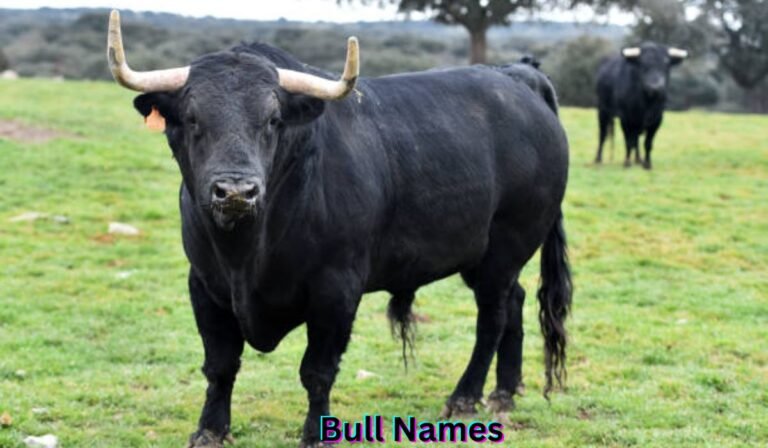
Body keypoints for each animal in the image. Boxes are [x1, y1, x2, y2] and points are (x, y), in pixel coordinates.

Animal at [105, 10, 572, 447]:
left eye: (273, 120)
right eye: (191, 118)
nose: (236, 191)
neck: (246, 253)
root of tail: (517, 76)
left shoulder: (336, 290)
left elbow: (317, 371)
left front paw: (316, 433)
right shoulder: (204, 285)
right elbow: (220, 364)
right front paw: (209, 430)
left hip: (506, 247)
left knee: (492, 317)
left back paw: (465, 397)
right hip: (489, 256)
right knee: (514, 301)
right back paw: (505, 392)